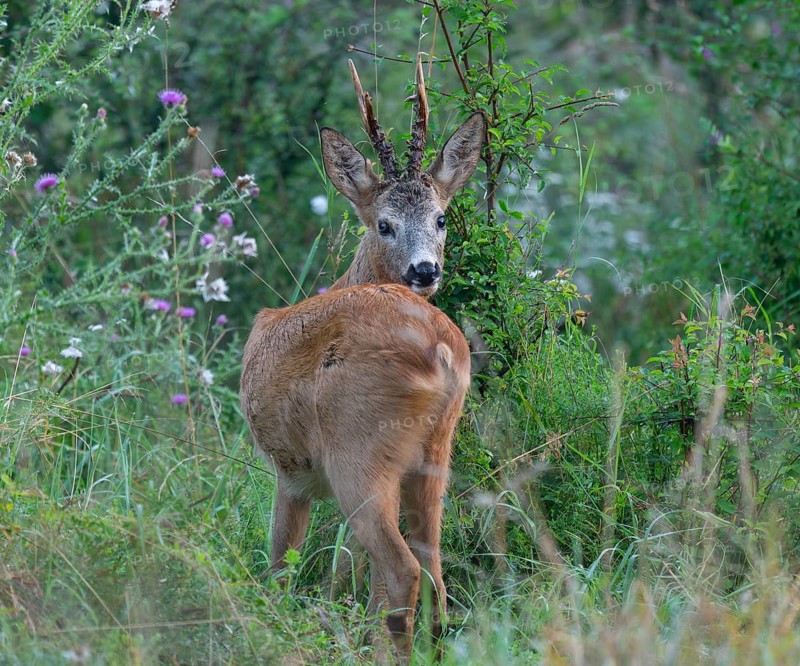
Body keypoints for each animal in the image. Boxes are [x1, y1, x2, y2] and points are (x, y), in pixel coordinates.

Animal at [240, 59, 485, 659]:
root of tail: (440, 347)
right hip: (434, 452)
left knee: (403, 570)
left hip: (360, 452)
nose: (424, 270)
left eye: (441, 218)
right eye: (384, 223)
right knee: (434, 570)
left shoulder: (290, 473)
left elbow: (280, 564)